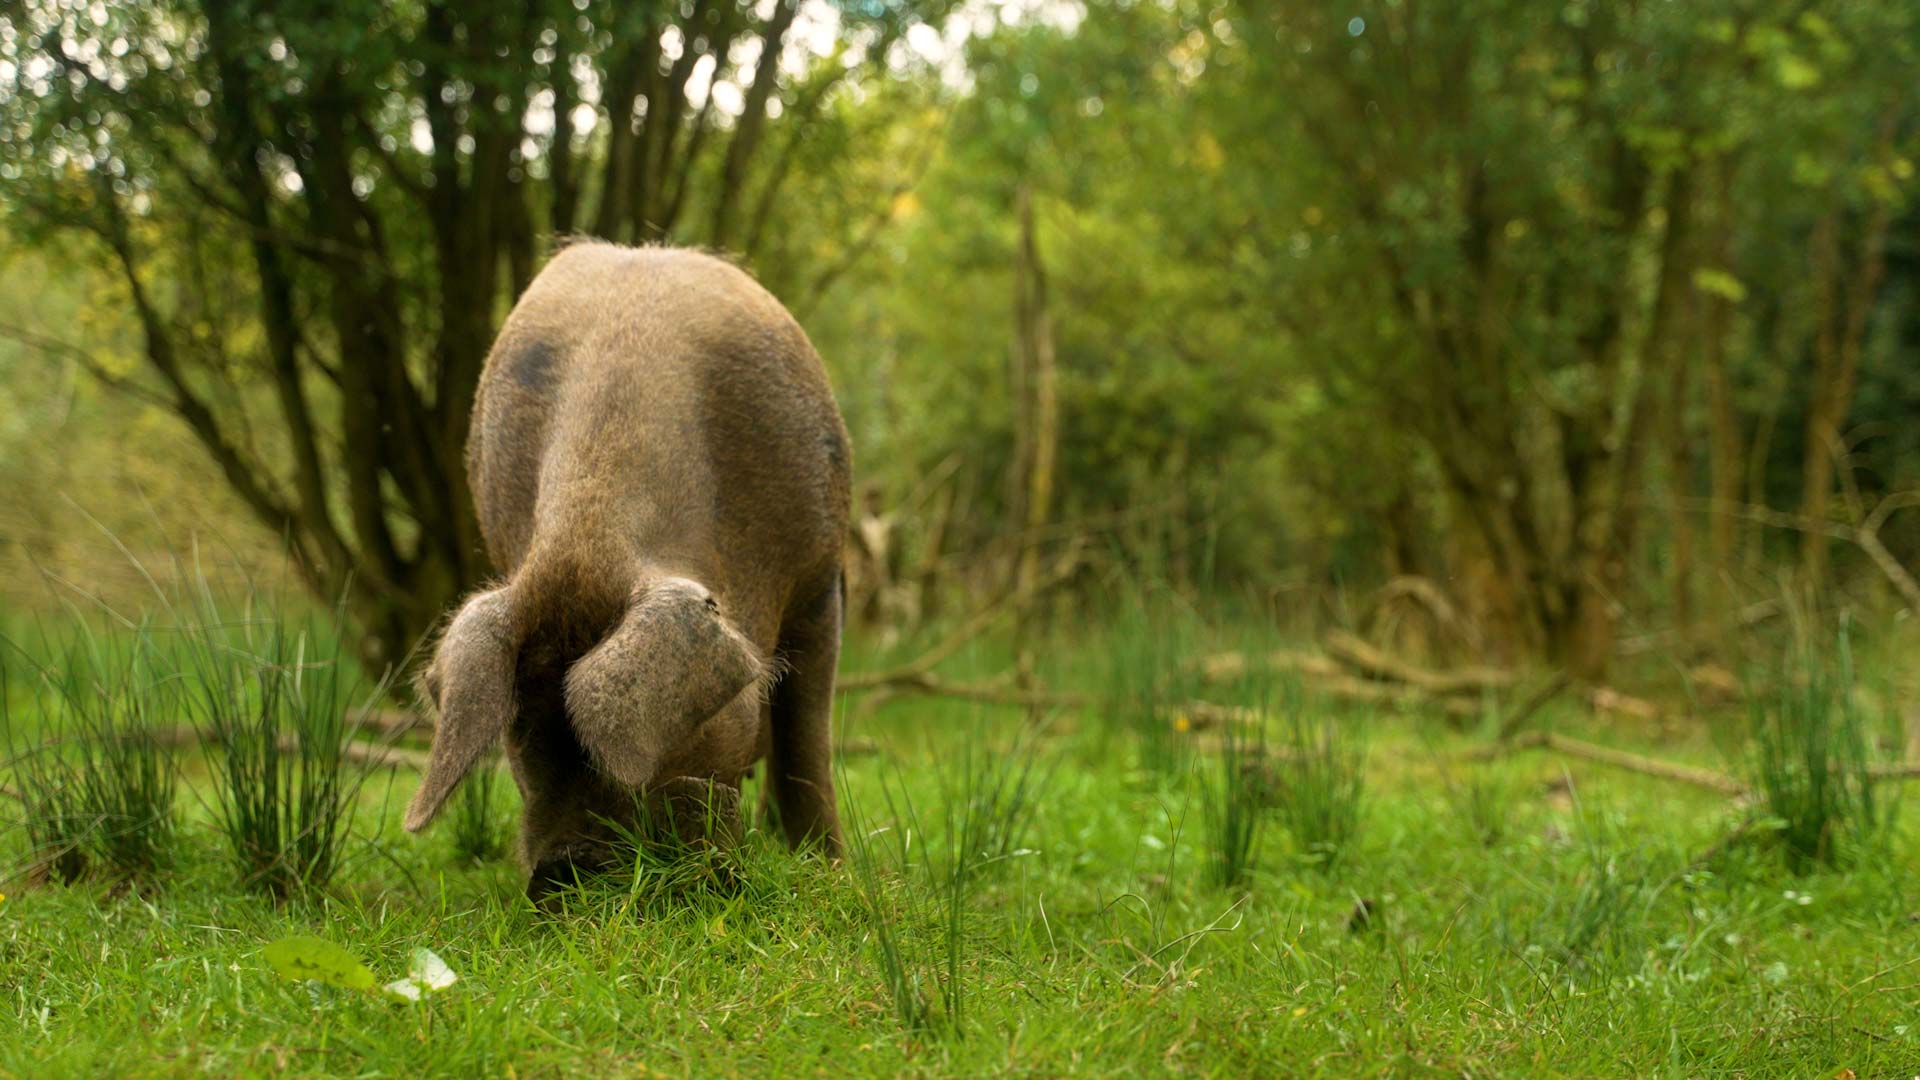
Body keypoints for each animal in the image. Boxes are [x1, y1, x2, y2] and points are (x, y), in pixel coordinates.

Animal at [403, 242, 850, 900]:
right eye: (519, 732)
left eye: (674, 735)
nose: (562, 873)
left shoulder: (820, 581)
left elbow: (805, 744)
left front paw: (832, 871)